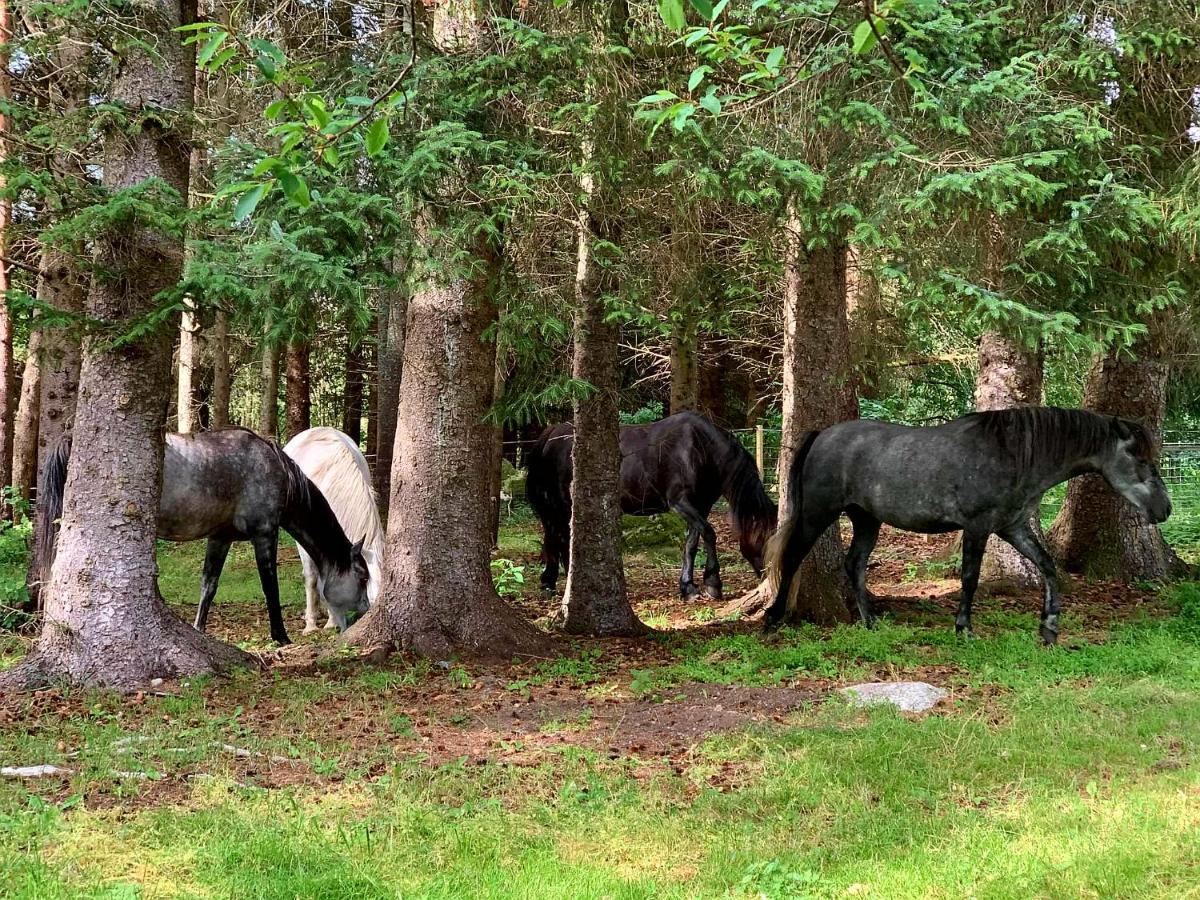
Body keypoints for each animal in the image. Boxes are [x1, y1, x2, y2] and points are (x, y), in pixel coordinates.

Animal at [32, 429, 369, 648]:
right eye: (363, 577)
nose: (365, 611)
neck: (276, 471)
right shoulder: (265, 534)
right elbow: (270, 587)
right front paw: (281, 636)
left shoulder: (220, 538)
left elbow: (209, 586)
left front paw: (199, 629)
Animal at [528, 415, 777, 600]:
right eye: (766, 537)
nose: (772, 577)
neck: (700, 449)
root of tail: (552, 434)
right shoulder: (680, 503)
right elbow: (709, 533)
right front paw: (713, 583)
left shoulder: (700, 507)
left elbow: (691, 544)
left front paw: (688, 587)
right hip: (558, 506)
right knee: (557, 538)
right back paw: (554, 582)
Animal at [763, 408, 1166, 648]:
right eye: (1137, 456)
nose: (1164, 509)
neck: (1013, 453)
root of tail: (821, 435)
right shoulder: (978, 527)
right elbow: (970, 577)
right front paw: (964, 628)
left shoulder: (1013, 527)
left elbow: (1049, 568)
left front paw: (1049, 628)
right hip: (818, 513)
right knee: (794, 556)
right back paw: (772, 619)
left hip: (866, 520)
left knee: (855, 565)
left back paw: (870, 623)